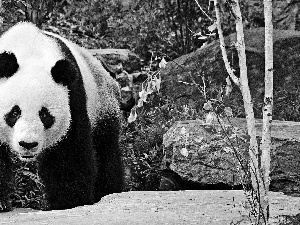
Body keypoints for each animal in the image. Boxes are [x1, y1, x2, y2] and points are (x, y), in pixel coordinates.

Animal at [0, 22, 123, 211]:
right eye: (14, 112)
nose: (28, 144)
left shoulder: (73, 96)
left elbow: (69, 153)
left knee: (106, 153)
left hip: (102, 105)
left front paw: (69, 202)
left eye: (44, 114)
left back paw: (109, 190)